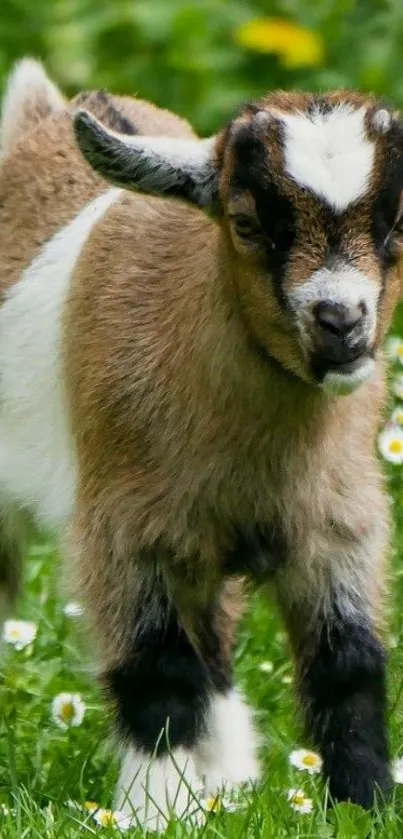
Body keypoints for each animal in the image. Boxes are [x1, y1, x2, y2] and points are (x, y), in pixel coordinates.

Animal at [0, 62, 403, 832]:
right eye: (245, 223)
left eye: (395, 225)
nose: (340, 322)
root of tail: (46, 113)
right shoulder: (127, 532)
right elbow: (157, 672)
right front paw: (152, 813)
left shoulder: (339, 526)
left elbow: (349, 667)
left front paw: (365, 805)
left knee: (214, 641)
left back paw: (230, 779)